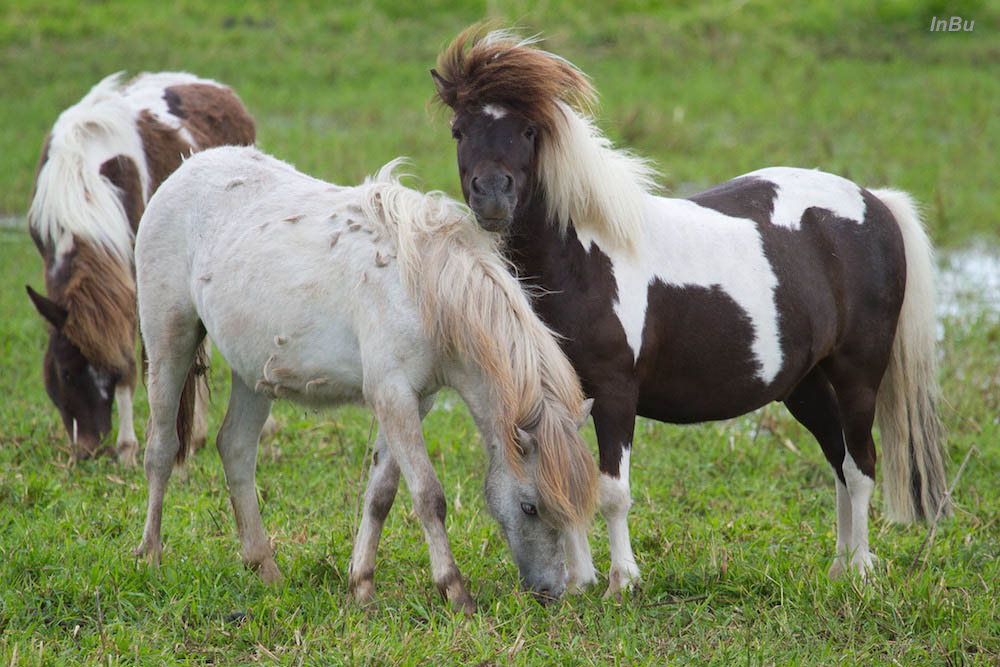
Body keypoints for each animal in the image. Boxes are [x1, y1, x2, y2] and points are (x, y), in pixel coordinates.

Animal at [27, 69, 256, 464]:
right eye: (66, 373)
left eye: (111, 373)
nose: (89, 448)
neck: (81, 180)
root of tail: (213, 87)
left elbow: (139, 364)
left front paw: (128, 448)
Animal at [134, 145, 600, 612]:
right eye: (529, 507)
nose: (549, 592)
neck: (426, 287)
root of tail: (188, 168)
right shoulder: (393, 396)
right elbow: (428, 495)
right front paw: (455, 591)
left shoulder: (415, 401)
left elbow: (381, 495)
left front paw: (362, 586)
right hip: (169, 341)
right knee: (161, 448)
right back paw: (150, 557)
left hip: (254, 373)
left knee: (235, 449)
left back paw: (264, 567)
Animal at [430, 27, 944, 600]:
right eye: (458, 130)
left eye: (526, 130)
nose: (492, 196)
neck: (583, 258)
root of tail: (874, 201)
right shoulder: (560, 396)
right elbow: (566, 480)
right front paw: (581, 581)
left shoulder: (615, 392)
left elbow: (611, 491)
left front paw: (621, 583)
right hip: (803, 383)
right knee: (837, 459)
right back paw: (841, 564)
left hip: (858, 373)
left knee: (859, 466)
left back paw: (859, 570)